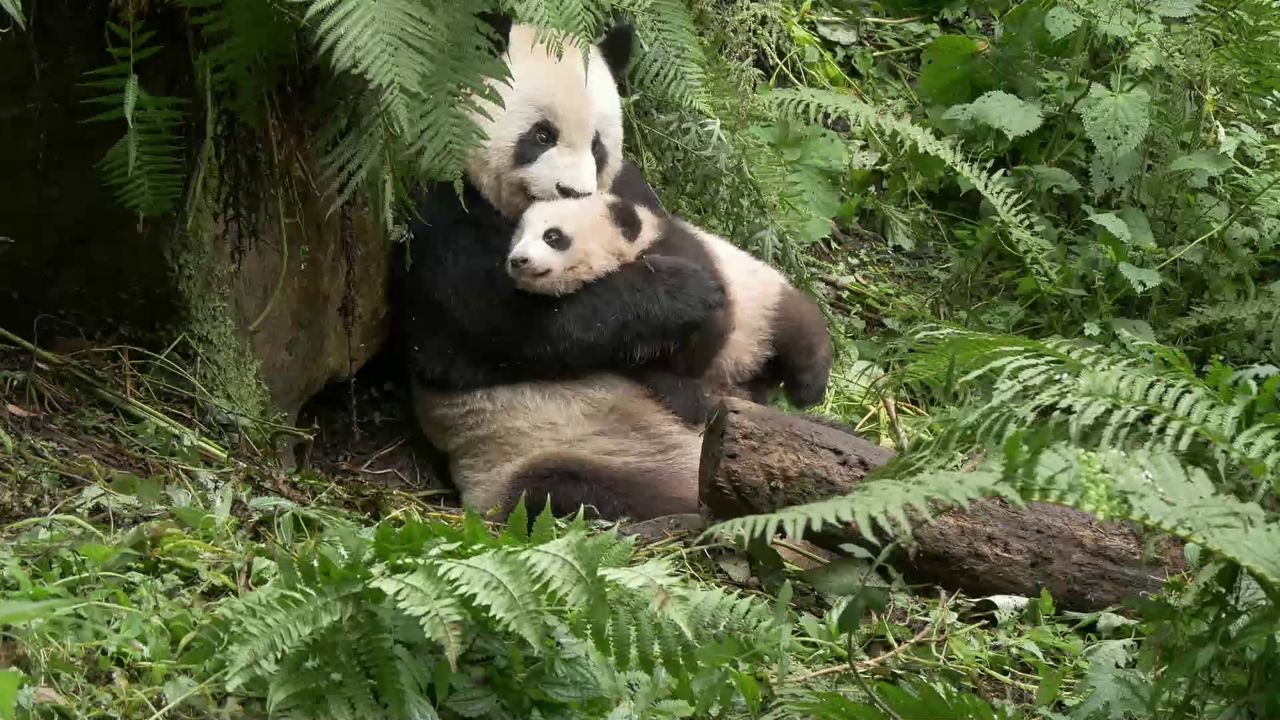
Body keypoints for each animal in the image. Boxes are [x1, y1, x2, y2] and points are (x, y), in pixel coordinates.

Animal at [396, 16, 726, 522]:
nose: (573, 192)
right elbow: (502, 330)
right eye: (541, 135)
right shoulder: (444, 219)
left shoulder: (626, 191)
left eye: (597, 145)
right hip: (542, 456)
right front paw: (679, 292)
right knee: (567, 493)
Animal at [506, 193, 834, 412]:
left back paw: (805, 390)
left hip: (768, 305)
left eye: (552, 236)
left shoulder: (686, 257)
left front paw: (685, 380)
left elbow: (710, 322)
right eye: (517, 237)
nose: (517, 260)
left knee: (802, 337)